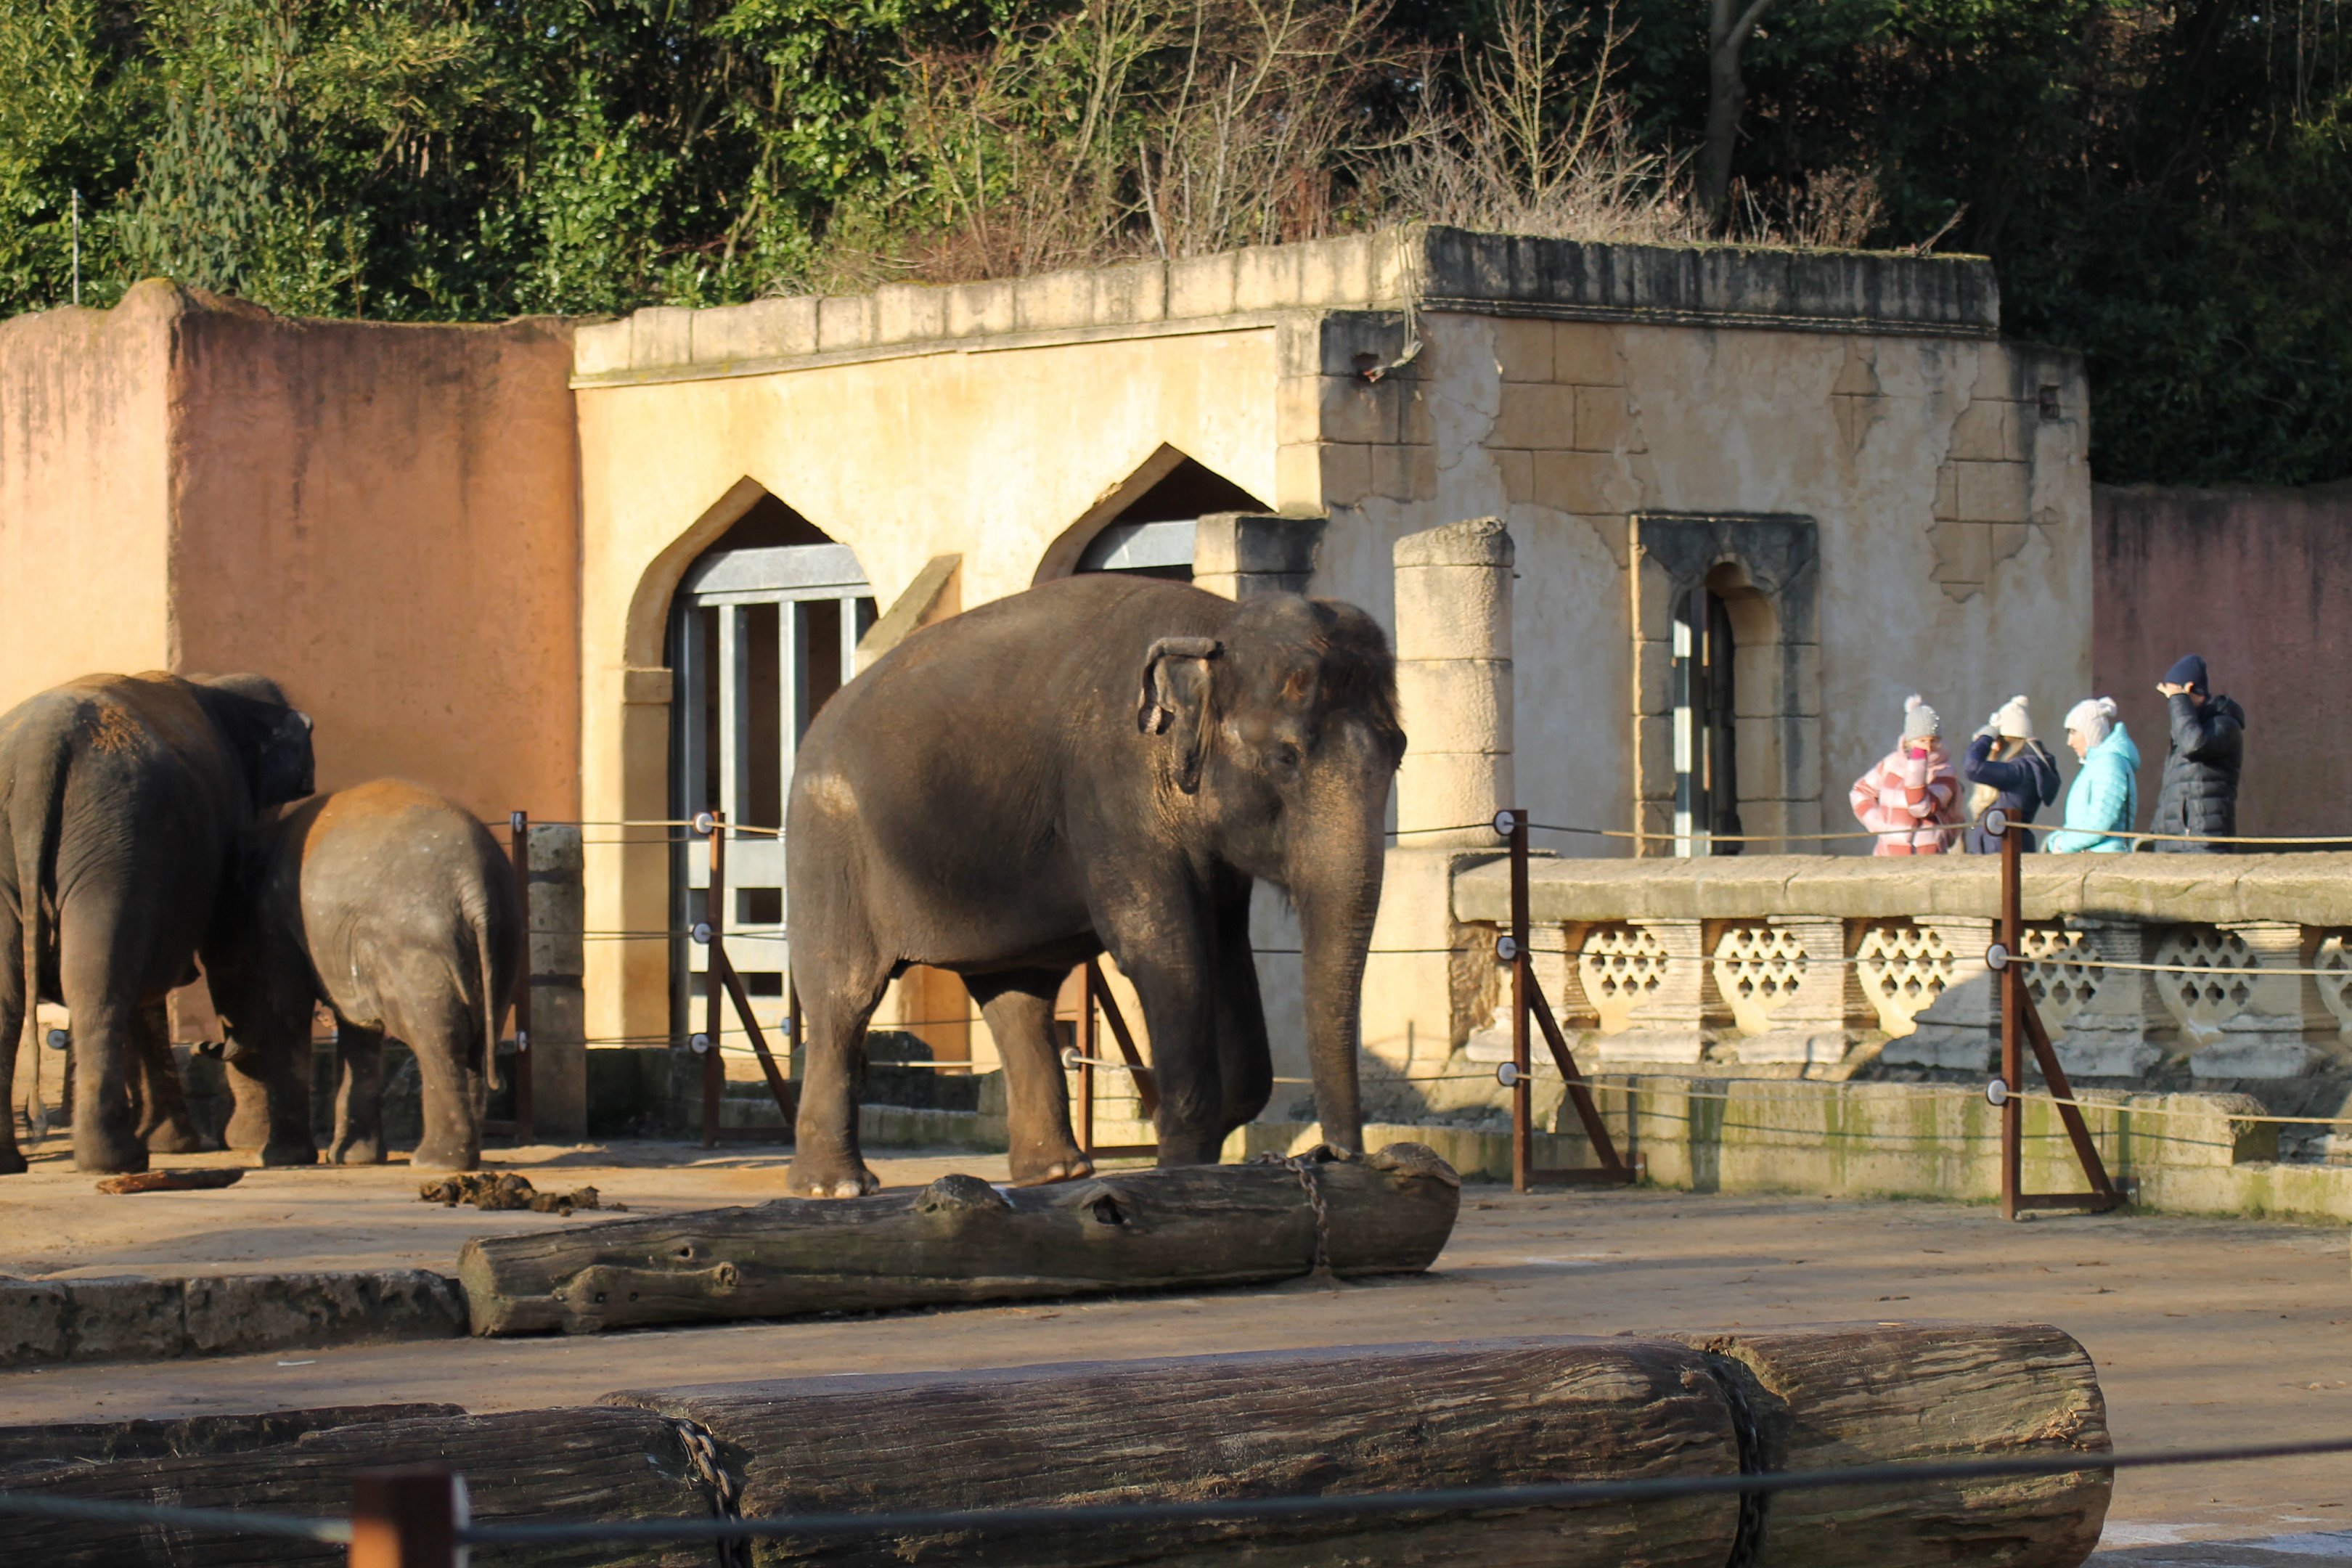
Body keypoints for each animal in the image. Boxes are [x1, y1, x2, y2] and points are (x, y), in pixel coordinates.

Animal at [0, 672, 315, 1174]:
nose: (210, 1046)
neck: (216, 686)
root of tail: (35, 756)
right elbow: (230, 951)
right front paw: (242, 1141)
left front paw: (175, 1143)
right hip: (111, 837)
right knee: (99, 981)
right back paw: (116, 1161)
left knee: (17, 997)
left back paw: (15, 1162)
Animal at [201, 779, 522, 1171]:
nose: (207, 1045)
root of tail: (474, 887)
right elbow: (358, 1029)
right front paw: (355, 1160)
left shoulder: (278, 921)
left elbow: (288, 1012)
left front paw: (279, 1159)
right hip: (506, 939)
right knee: (481, 1035)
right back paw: (456, 1161)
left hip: (415, 942)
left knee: (439, 1034)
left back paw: (434, 1163)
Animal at [783, 574, 1404, 1198]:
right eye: (1285, 757)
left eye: (1399, 751)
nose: (1332, 1156)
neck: (1215, 626)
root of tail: (821, 716)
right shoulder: (1112, 793)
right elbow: (1165, 951)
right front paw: (1178, 1168)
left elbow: (1227, 956)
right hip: (829, 849)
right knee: (844, 999)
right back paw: (836, 1187)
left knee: (1018, 996)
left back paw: (1055, 1173)